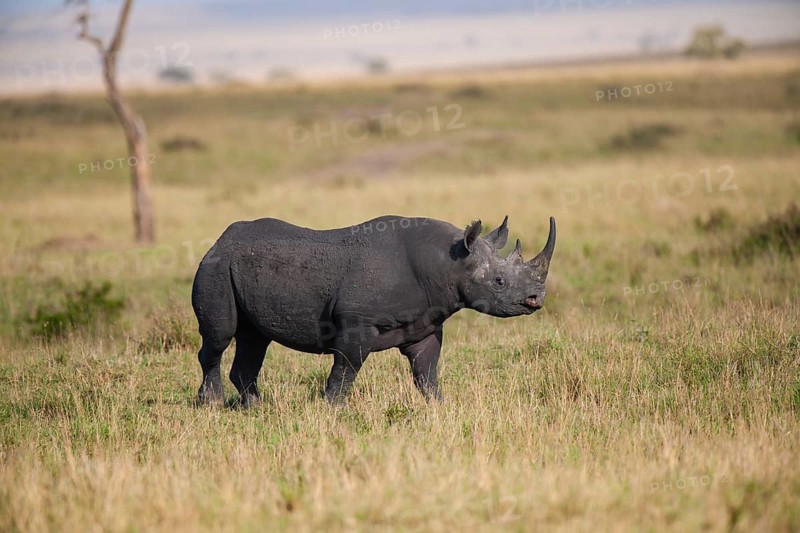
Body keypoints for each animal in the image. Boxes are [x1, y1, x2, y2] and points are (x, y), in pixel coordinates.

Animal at [191, 215, 556, 406]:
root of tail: (220, 239)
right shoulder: (356, 322)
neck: (449, 262)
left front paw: (439, 407)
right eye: (498, 281)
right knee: (220, 337)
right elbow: (345, 370)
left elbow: (427, 372)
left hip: (238, 267)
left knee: (254, 338)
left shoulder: (424, 323)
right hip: (216, 266)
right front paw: (332, 410)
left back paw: (256, 407)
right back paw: (212, 404)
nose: (535, 299)